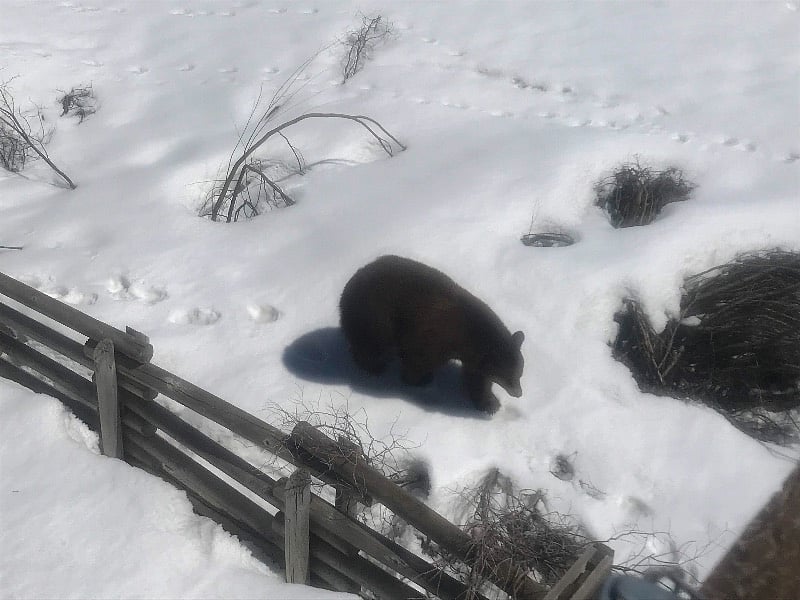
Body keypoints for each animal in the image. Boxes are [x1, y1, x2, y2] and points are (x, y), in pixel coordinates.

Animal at [339, 255, 524, 413]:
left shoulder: (474, 357)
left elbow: (477, 378)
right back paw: (374, 367)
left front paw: (489, 402)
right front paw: (419, 380)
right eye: (508, 376)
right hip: (375, 317)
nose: (519, 393)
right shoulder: (432, 336)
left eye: (519, 372)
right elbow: (418, 360)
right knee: (372, 345)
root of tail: (349, 284)